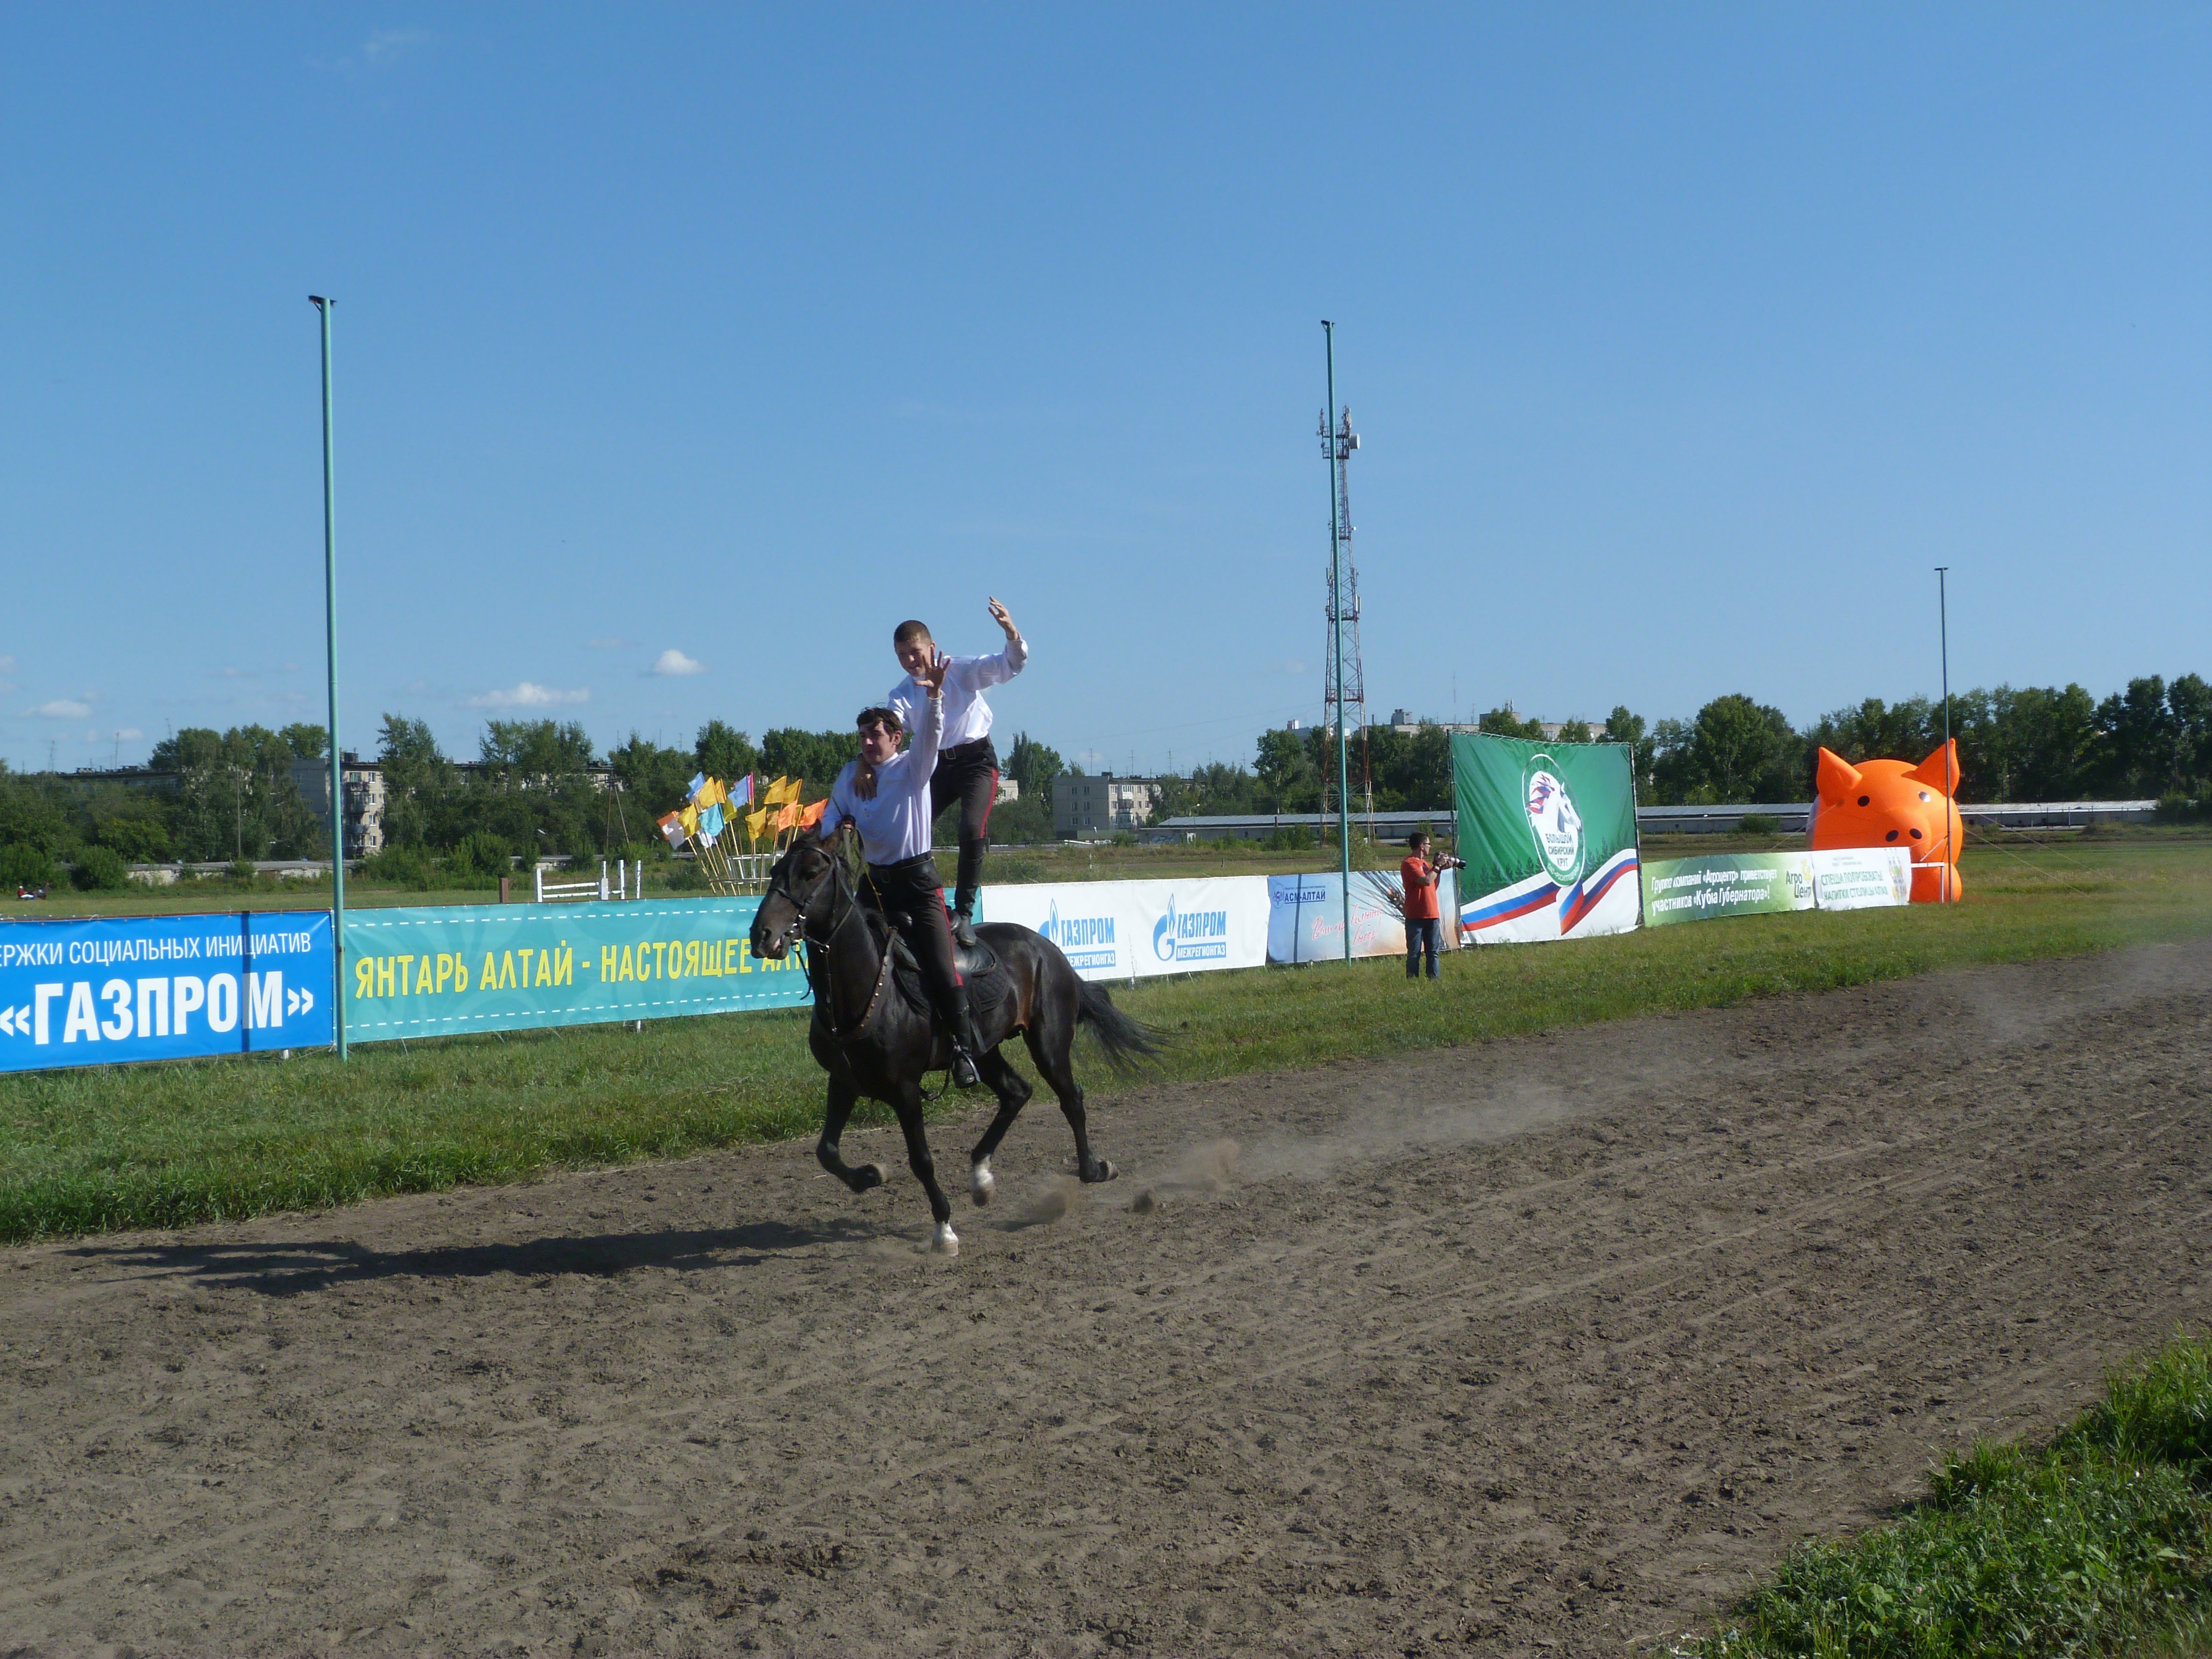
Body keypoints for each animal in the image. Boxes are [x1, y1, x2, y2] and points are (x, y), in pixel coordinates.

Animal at [749, 830, 1160, 1256]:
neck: (866, 990)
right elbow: (827, 1152)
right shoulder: (845, 1081)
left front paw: (944, 1229)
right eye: (775, 871)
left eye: (811, 873)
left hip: (1048, 1043)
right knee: (1017, 1092)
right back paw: (981, 1178)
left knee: (1070, 1098)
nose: (761, 934)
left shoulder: (905, 1089)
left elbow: (921, 1160)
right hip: (985, 1051)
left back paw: (1093, 1169)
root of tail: (1049, 949)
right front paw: (870, 1176)